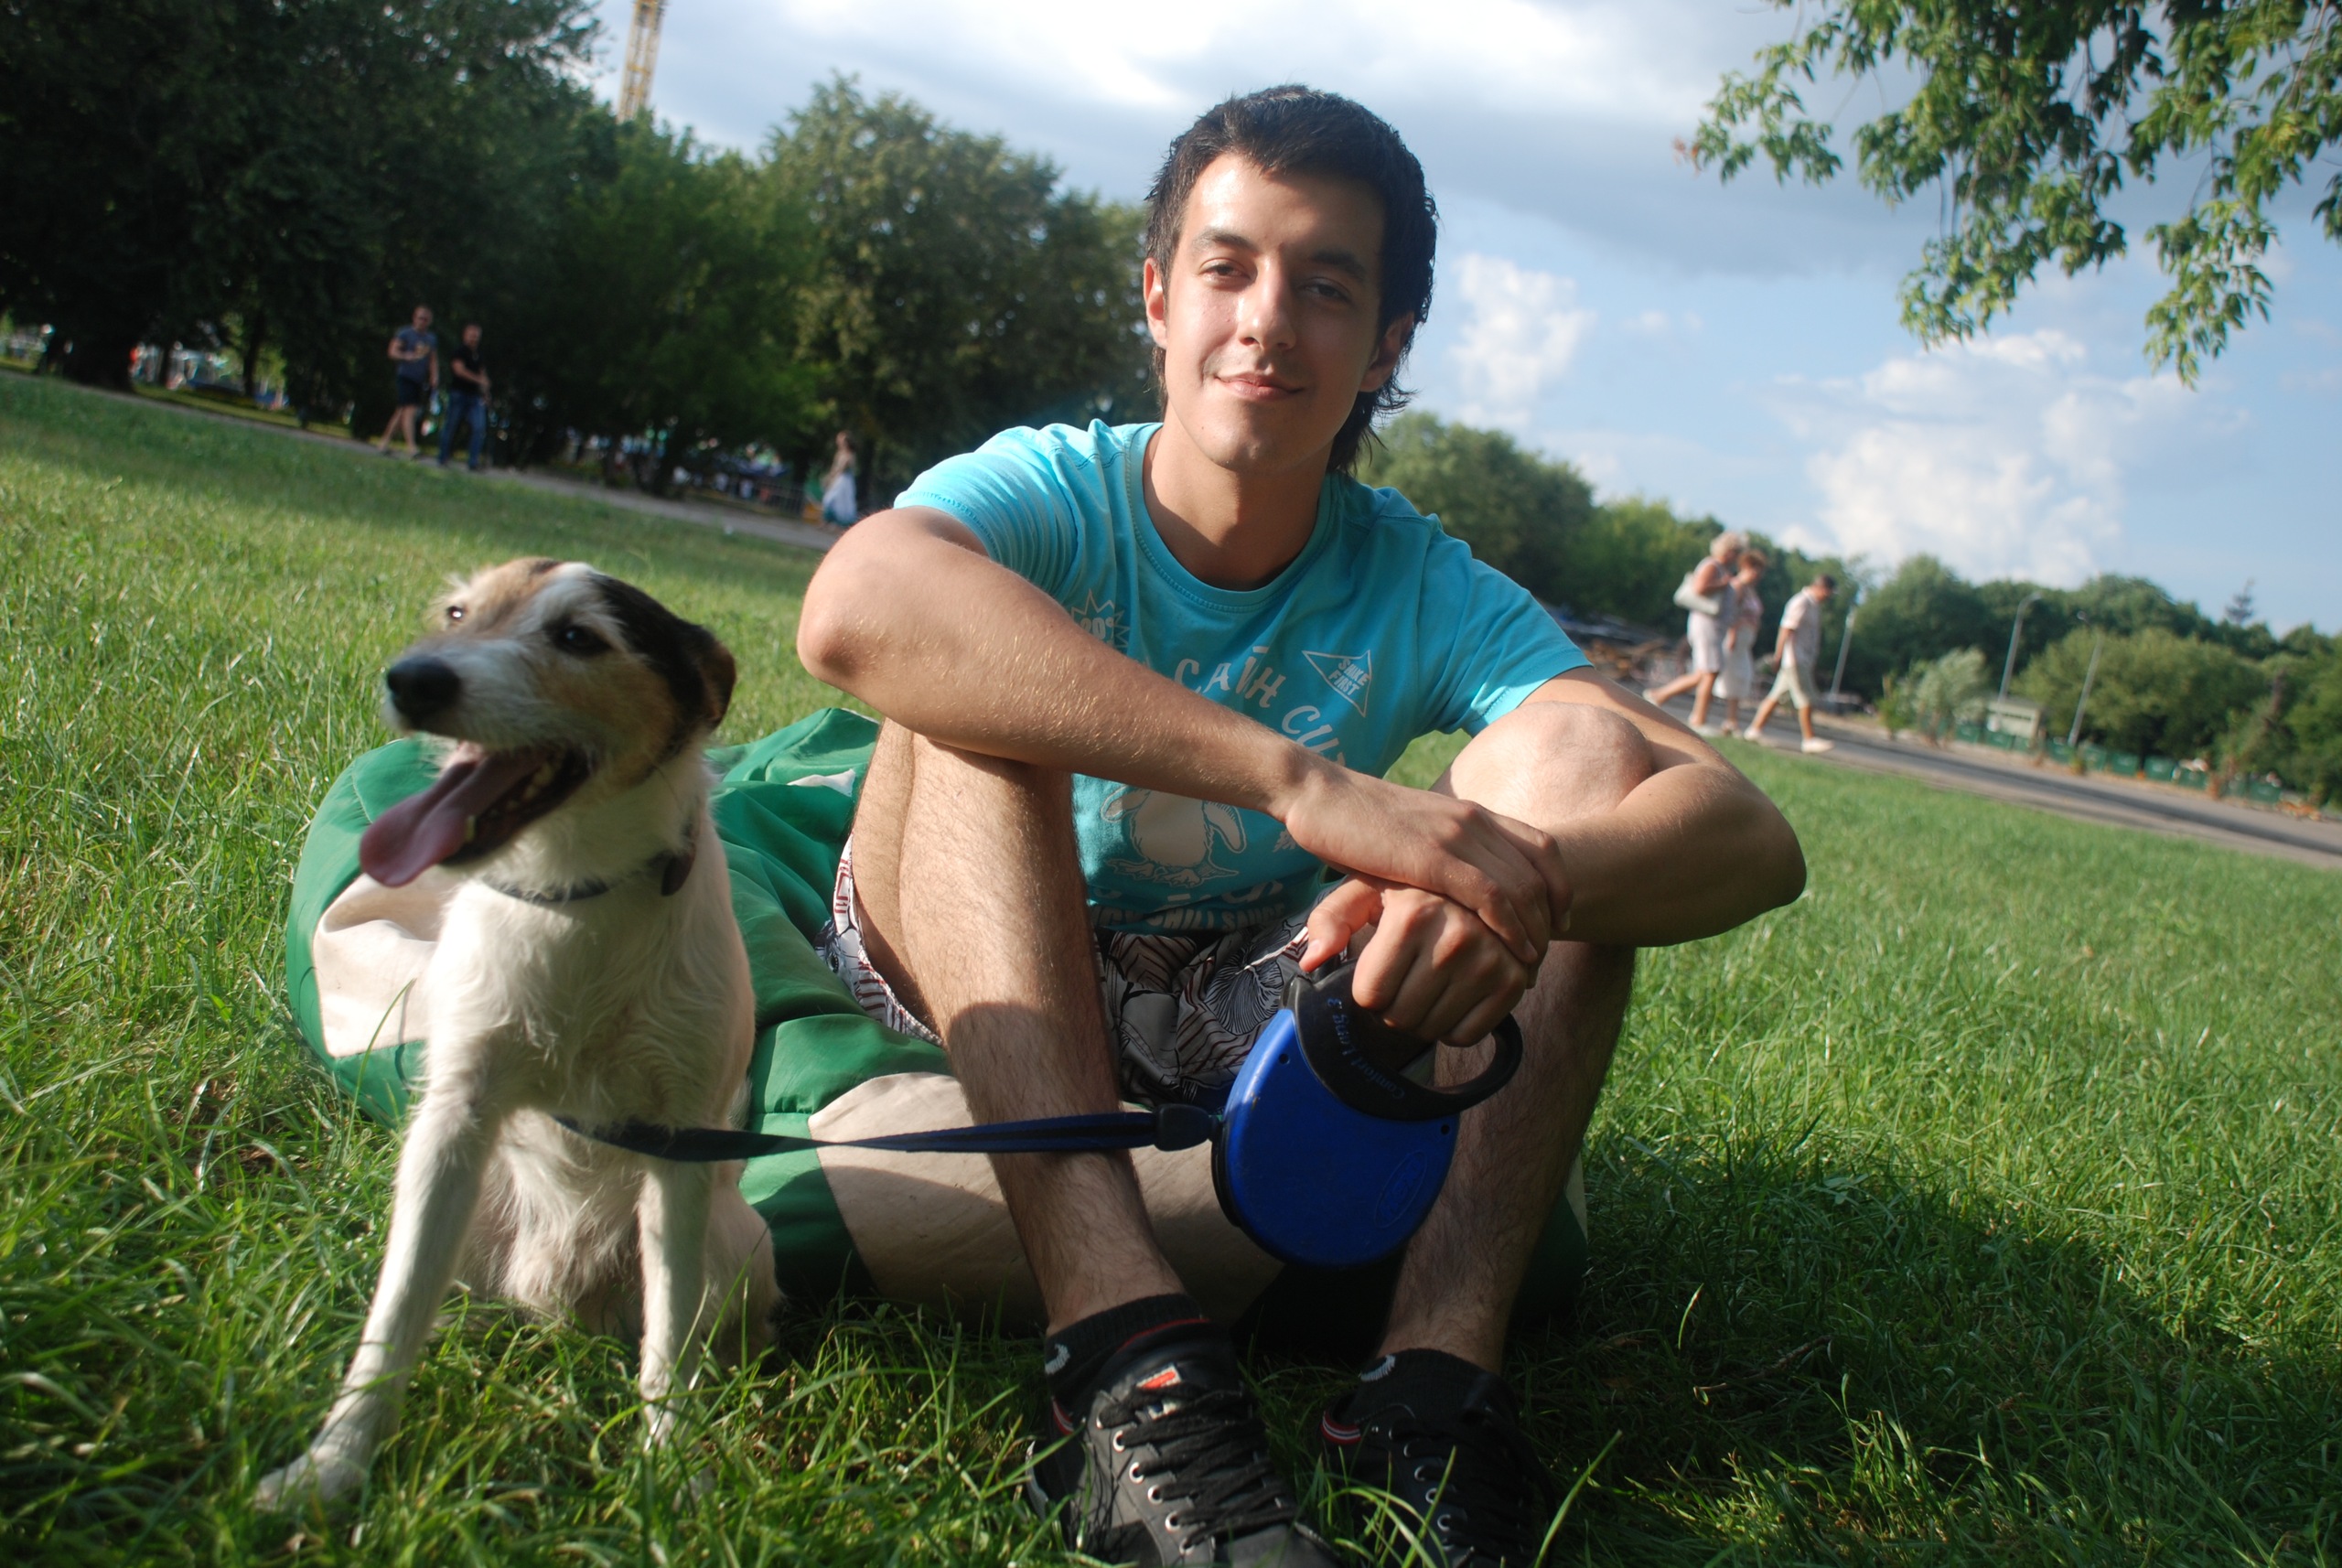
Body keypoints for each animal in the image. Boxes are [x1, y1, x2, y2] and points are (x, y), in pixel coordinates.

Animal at [258, 558, 779, 1510]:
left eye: (577, 637)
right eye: (459, 614)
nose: (412, 679)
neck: (576, 894)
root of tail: (559, 1302)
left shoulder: (677, 1149)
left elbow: (668, 1338)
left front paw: (670, 1464)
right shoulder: (455, 1119)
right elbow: (393, 1319)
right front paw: (334, 1464)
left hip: (737, 1243)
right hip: (466, 1218)